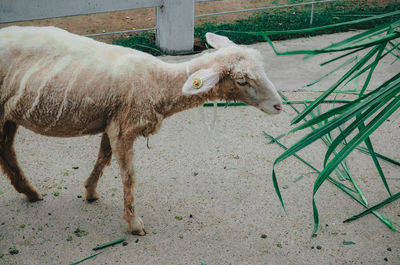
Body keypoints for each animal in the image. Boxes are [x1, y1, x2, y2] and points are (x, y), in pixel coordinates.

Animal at [0, 25, 282, 234]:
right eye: (242, 81)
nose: (279, 105)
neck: (159, 84)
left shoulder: (113, 121)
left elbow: (102, 158)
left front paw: (90, 191)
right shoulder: (124, 128)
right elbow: (128, 177)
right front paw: (135, 223)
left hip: (8, 114)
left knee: (7, 152)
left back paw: (30, 192)